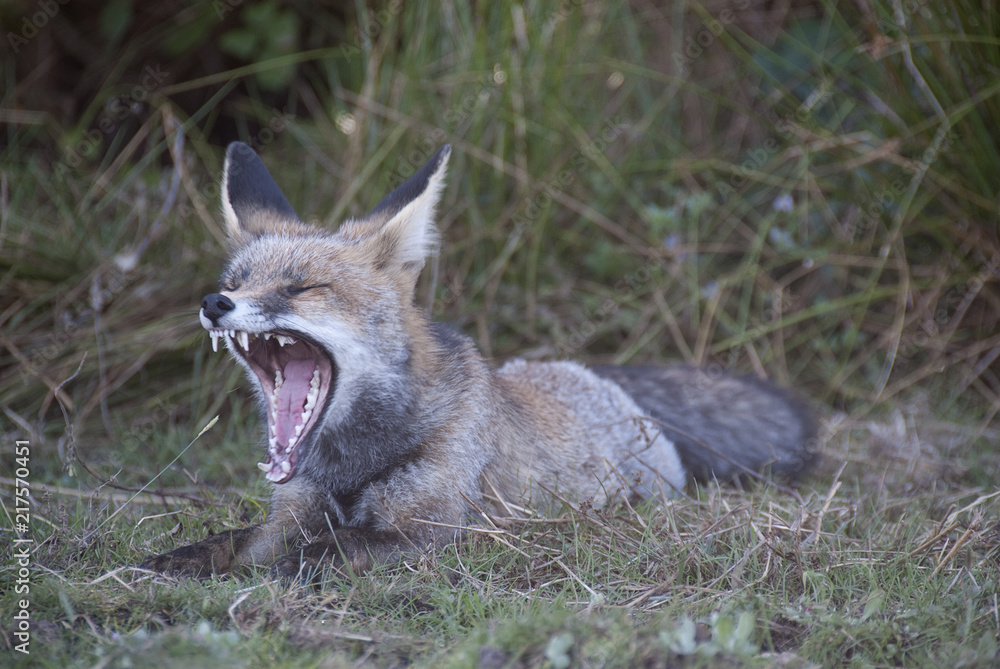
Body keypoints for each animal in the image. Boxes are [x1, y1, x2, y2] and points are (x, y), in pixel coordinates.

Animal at [139, 142, 812, 580]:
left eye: (302, 288)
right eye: (236, 282)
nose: (215, 303)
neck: (349, 467)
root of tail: (592, 376)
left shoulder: (431, 531)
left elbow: (313, 555)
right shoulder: (292, 513)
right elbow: (230, 543)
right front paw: (166, 568)